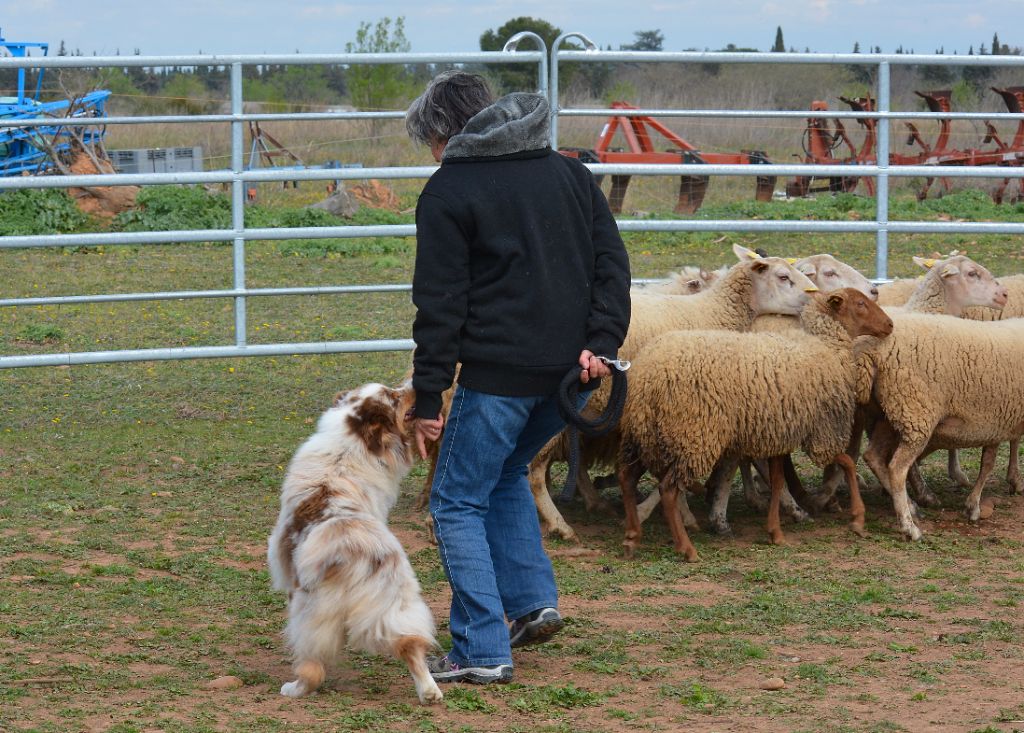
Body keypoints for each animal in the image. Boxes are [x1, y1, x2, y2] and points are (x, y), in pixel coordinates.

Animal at [528, 243, 815, 540]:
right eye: (783, 277)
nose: (814, 294)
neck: (713, 311)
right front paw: (684, 515)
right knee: (533, 471)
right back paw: (561, 525)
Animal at [614, 288, 897, 556]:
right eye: (860, 303)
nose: (890, 324)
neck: (825, 346)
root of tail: (647, 374)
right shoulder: (819, 433)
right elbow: (847, 463)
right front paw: (858, 518)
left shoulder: (779, 433)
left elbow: (778, 480)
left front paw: (775, 531)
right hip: (692, 436)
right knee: (668, 490)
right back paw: (686, 548)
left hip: (646, 434)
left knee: (627, 477)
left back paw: (631, 537)